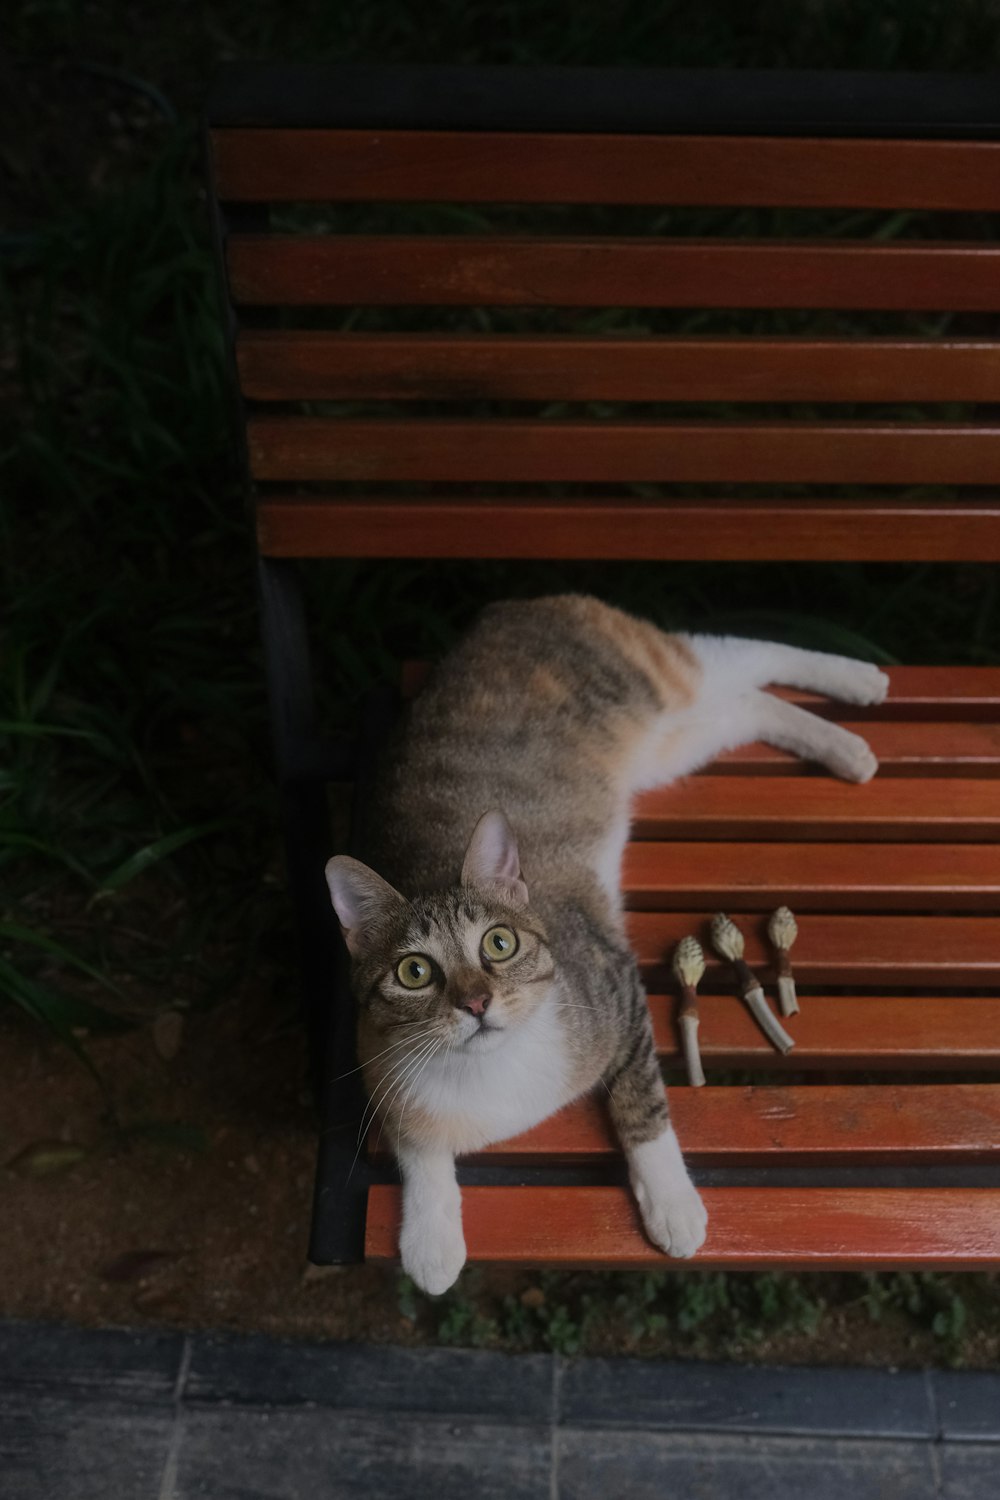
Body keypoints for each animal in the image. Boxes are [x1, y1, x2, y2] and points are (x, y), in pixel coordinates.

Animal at [325, 591, 887, 1296]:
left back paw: (858, 682)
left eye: (499, 944)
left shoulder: (617, 988)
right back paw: (841, 744)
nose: (477, 1004)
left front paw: (672, 1204)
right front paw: (431, 1239)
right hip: (669, 743)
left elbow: (639, 1100)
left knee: (739, 653)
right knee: (745, 704)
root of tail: (511, 606)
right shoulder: (381, 1068)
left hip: (650, 677)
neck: (493, 1069)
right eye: (415, 973)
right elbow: (418, 1148)